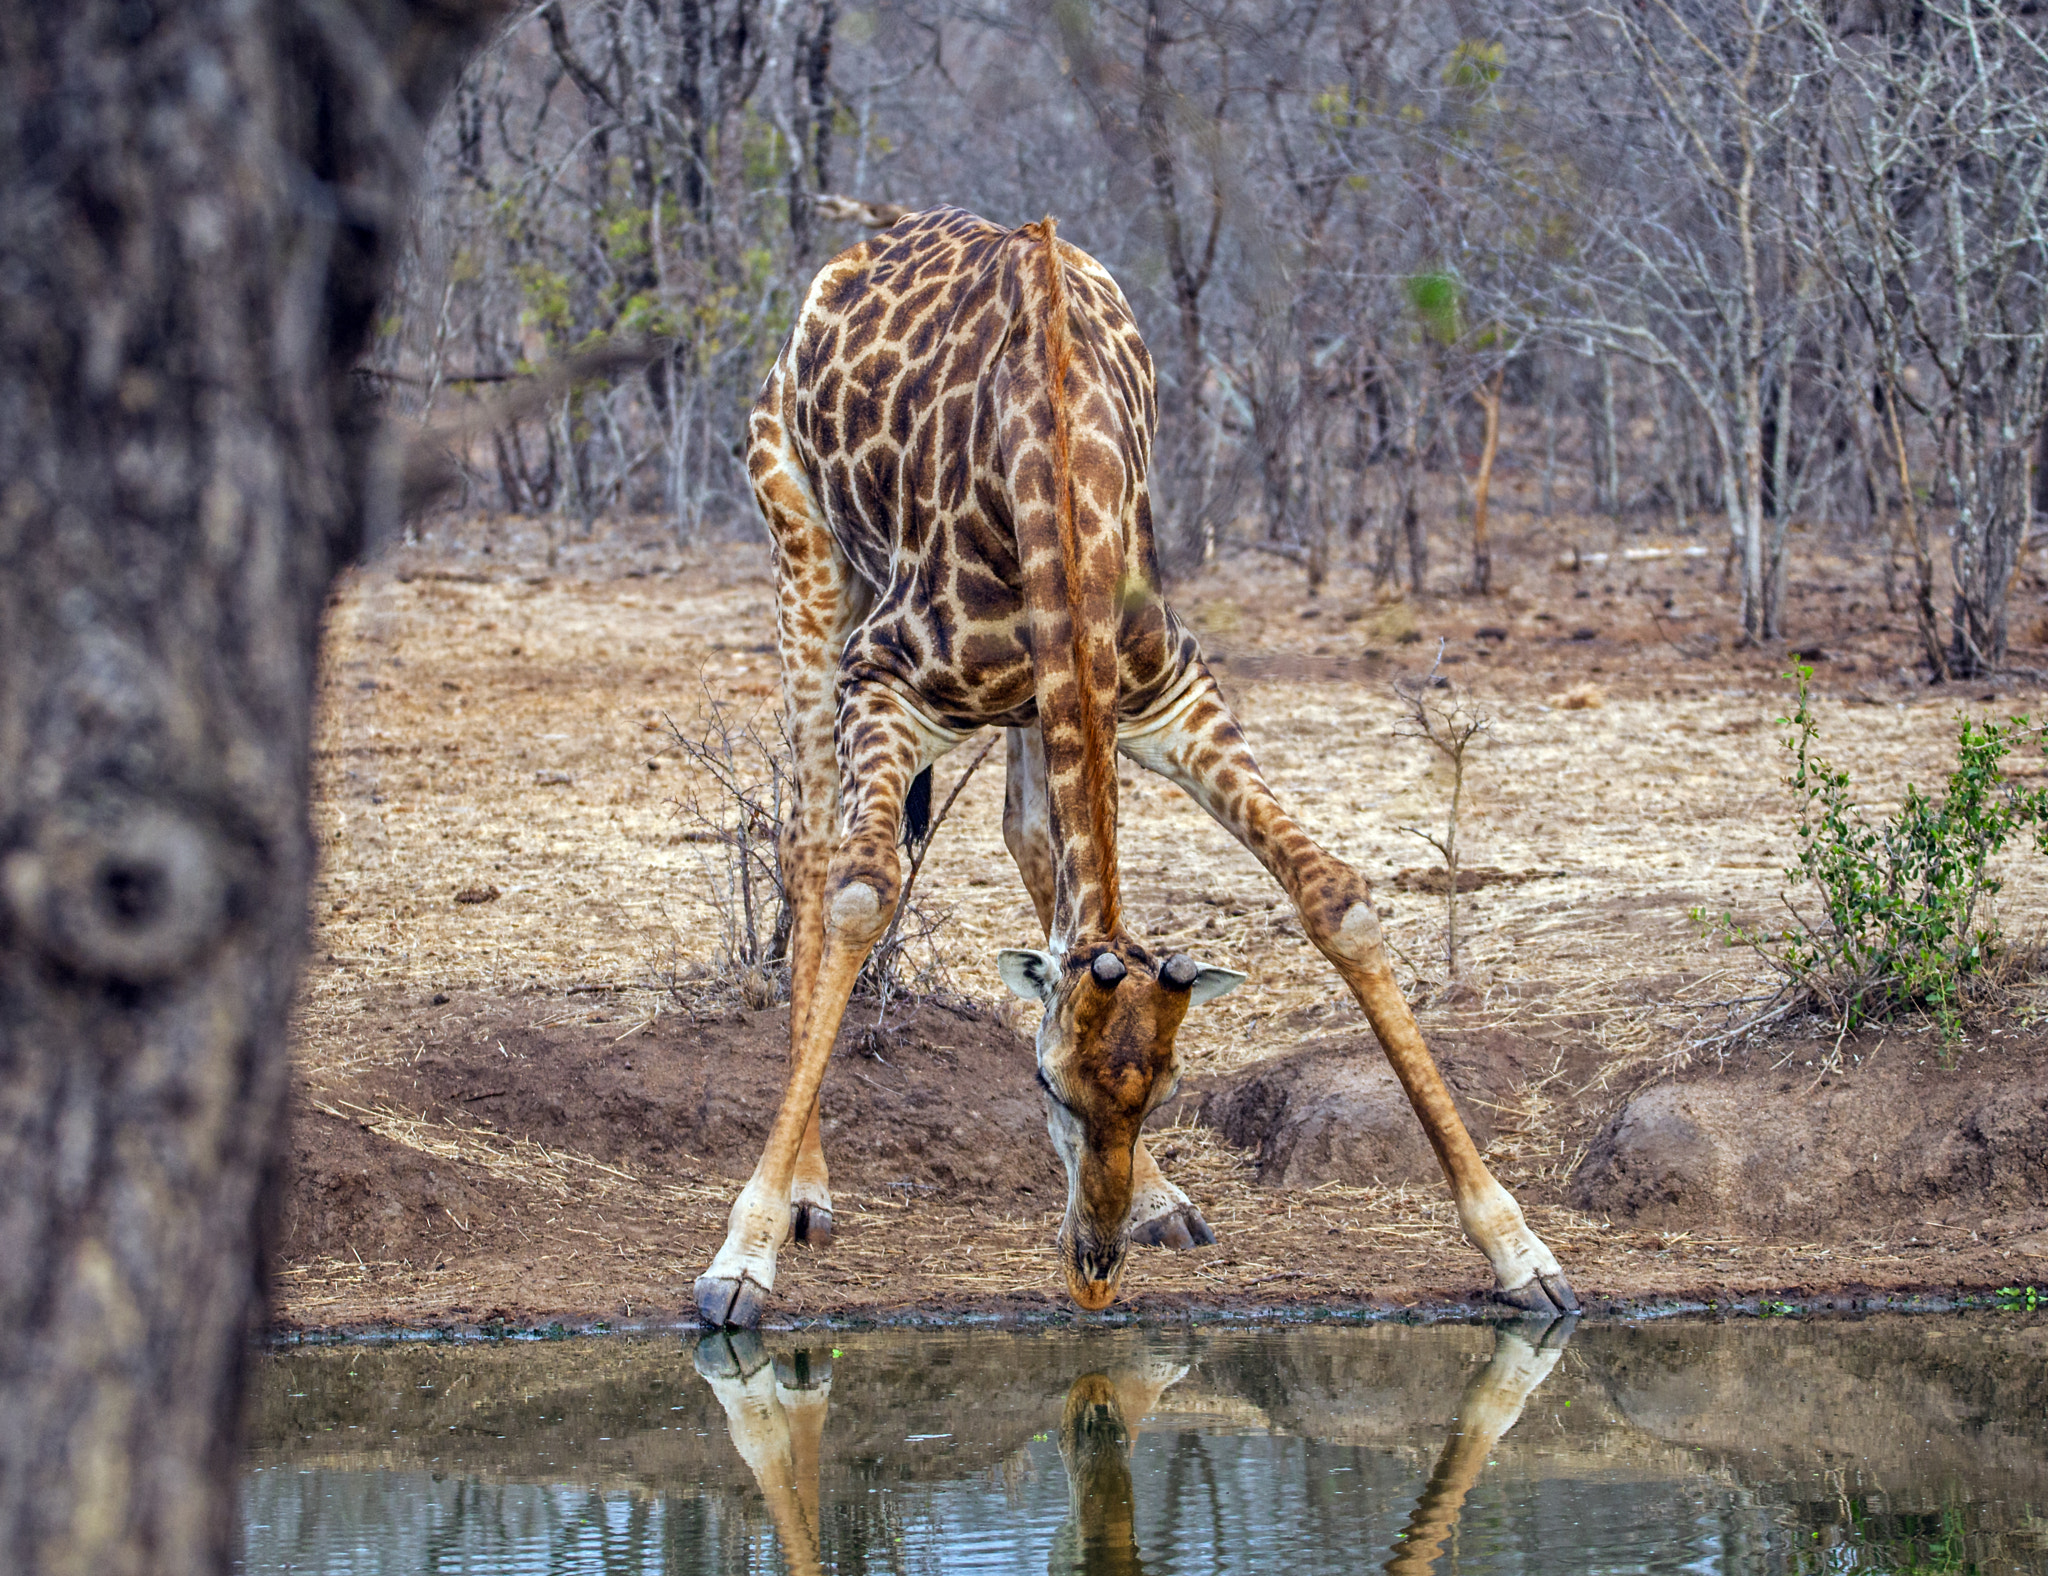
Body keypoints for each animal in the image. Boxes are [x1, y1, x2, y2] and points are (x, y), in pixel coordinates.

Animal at [692, 205, 1577, 1328]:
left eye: (1164, 1090)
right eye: (1043, 1088)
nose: (1093, 1273)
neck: (1061, 465)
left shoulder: (1168, 695)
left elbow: (1333, 896)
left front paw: (1517, 1246)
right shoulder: (884, 679)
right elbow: (859, 892)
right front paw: (742, 1254)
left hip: (1034, 701)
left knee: (1033, 840)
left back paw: (1159, 1201)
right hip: (805, 557)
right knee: (810, 847)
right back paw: (809, 1189)